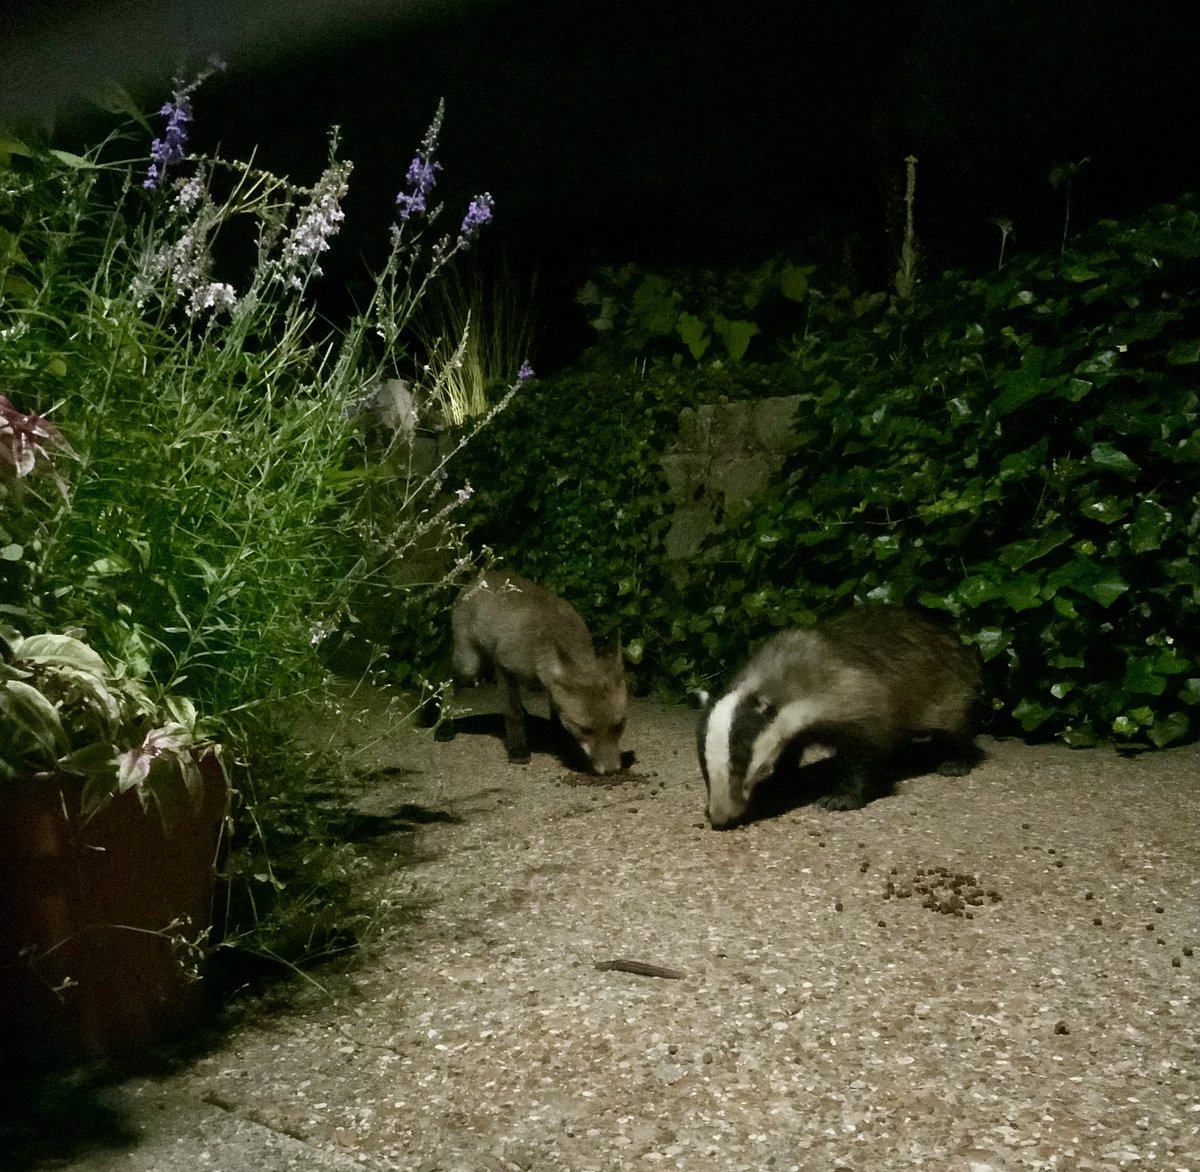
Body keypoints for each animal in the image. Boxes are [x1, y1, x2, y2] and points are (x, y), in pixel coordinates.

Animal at [439, 571, 628, 772]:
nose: (611, 770)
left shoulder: (552, 686)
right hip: (469, 665)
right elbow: (513, 714)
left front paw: (566, 748)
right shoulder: (504, 667)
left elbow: (557, 721)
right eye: (585, 729)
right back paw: (444, 725)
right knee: (448, 685)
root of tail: (479, 577)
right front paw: (518, 749)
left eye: (619, 725)